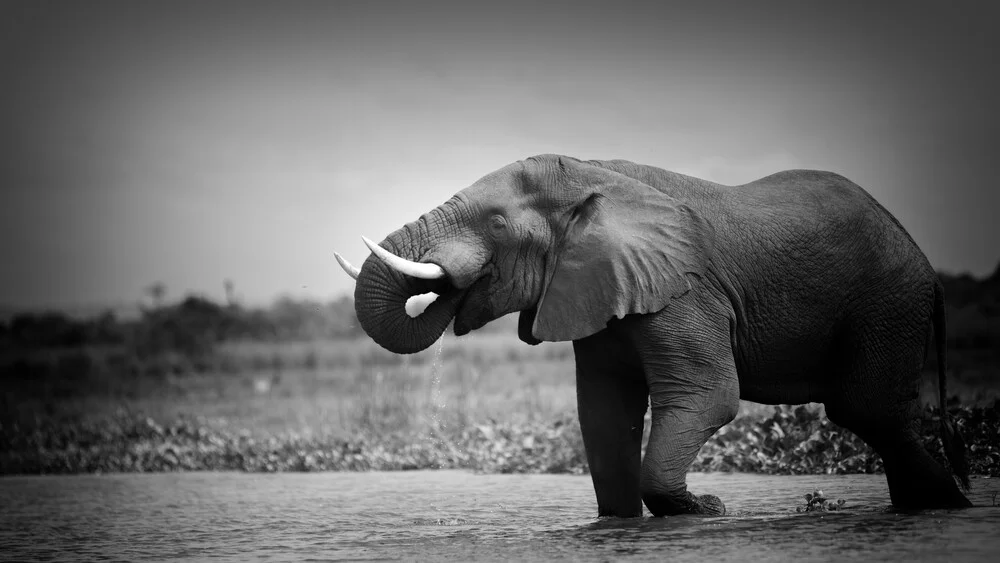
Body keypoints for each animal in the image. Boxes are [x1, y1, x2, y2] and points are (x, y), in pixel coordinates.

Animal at [334, 155, 968, 520]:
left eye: (495, 223)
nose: (445, 289)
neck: (588, 176)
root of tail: (925, 261)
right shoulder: (595, 287)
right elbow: (603, 414)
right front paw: (625, 524)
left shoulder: (684, 289)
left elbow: (708, 397)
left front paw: (704, 510)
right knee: (875, 415)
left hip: (888, 302)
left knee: (865, 408)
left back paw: (950, 507)